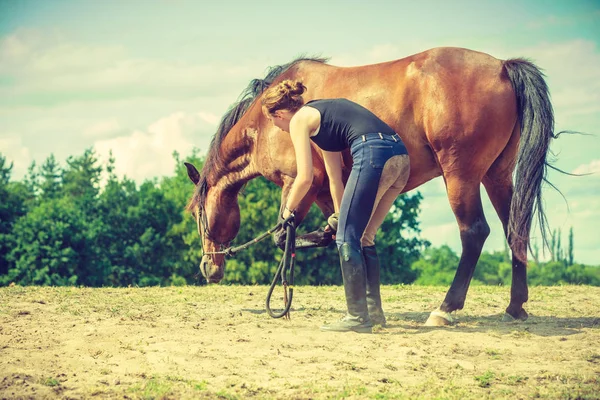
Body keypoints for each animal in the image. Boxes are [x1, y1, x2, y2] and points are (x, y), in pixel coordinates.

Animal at [186, 47, 556, 326]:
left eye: (197, 215)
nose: (207, 267)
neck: (263, 127)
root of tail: (503, 67)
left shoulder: (300, 182)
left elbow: (284, 235)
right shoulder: (329, 189)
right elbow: (343, 231)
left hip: (461, 177)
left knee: (474, 233)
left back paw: (445, 309)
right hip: (496, 175)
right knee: (515, 231)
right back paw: (515, 307)